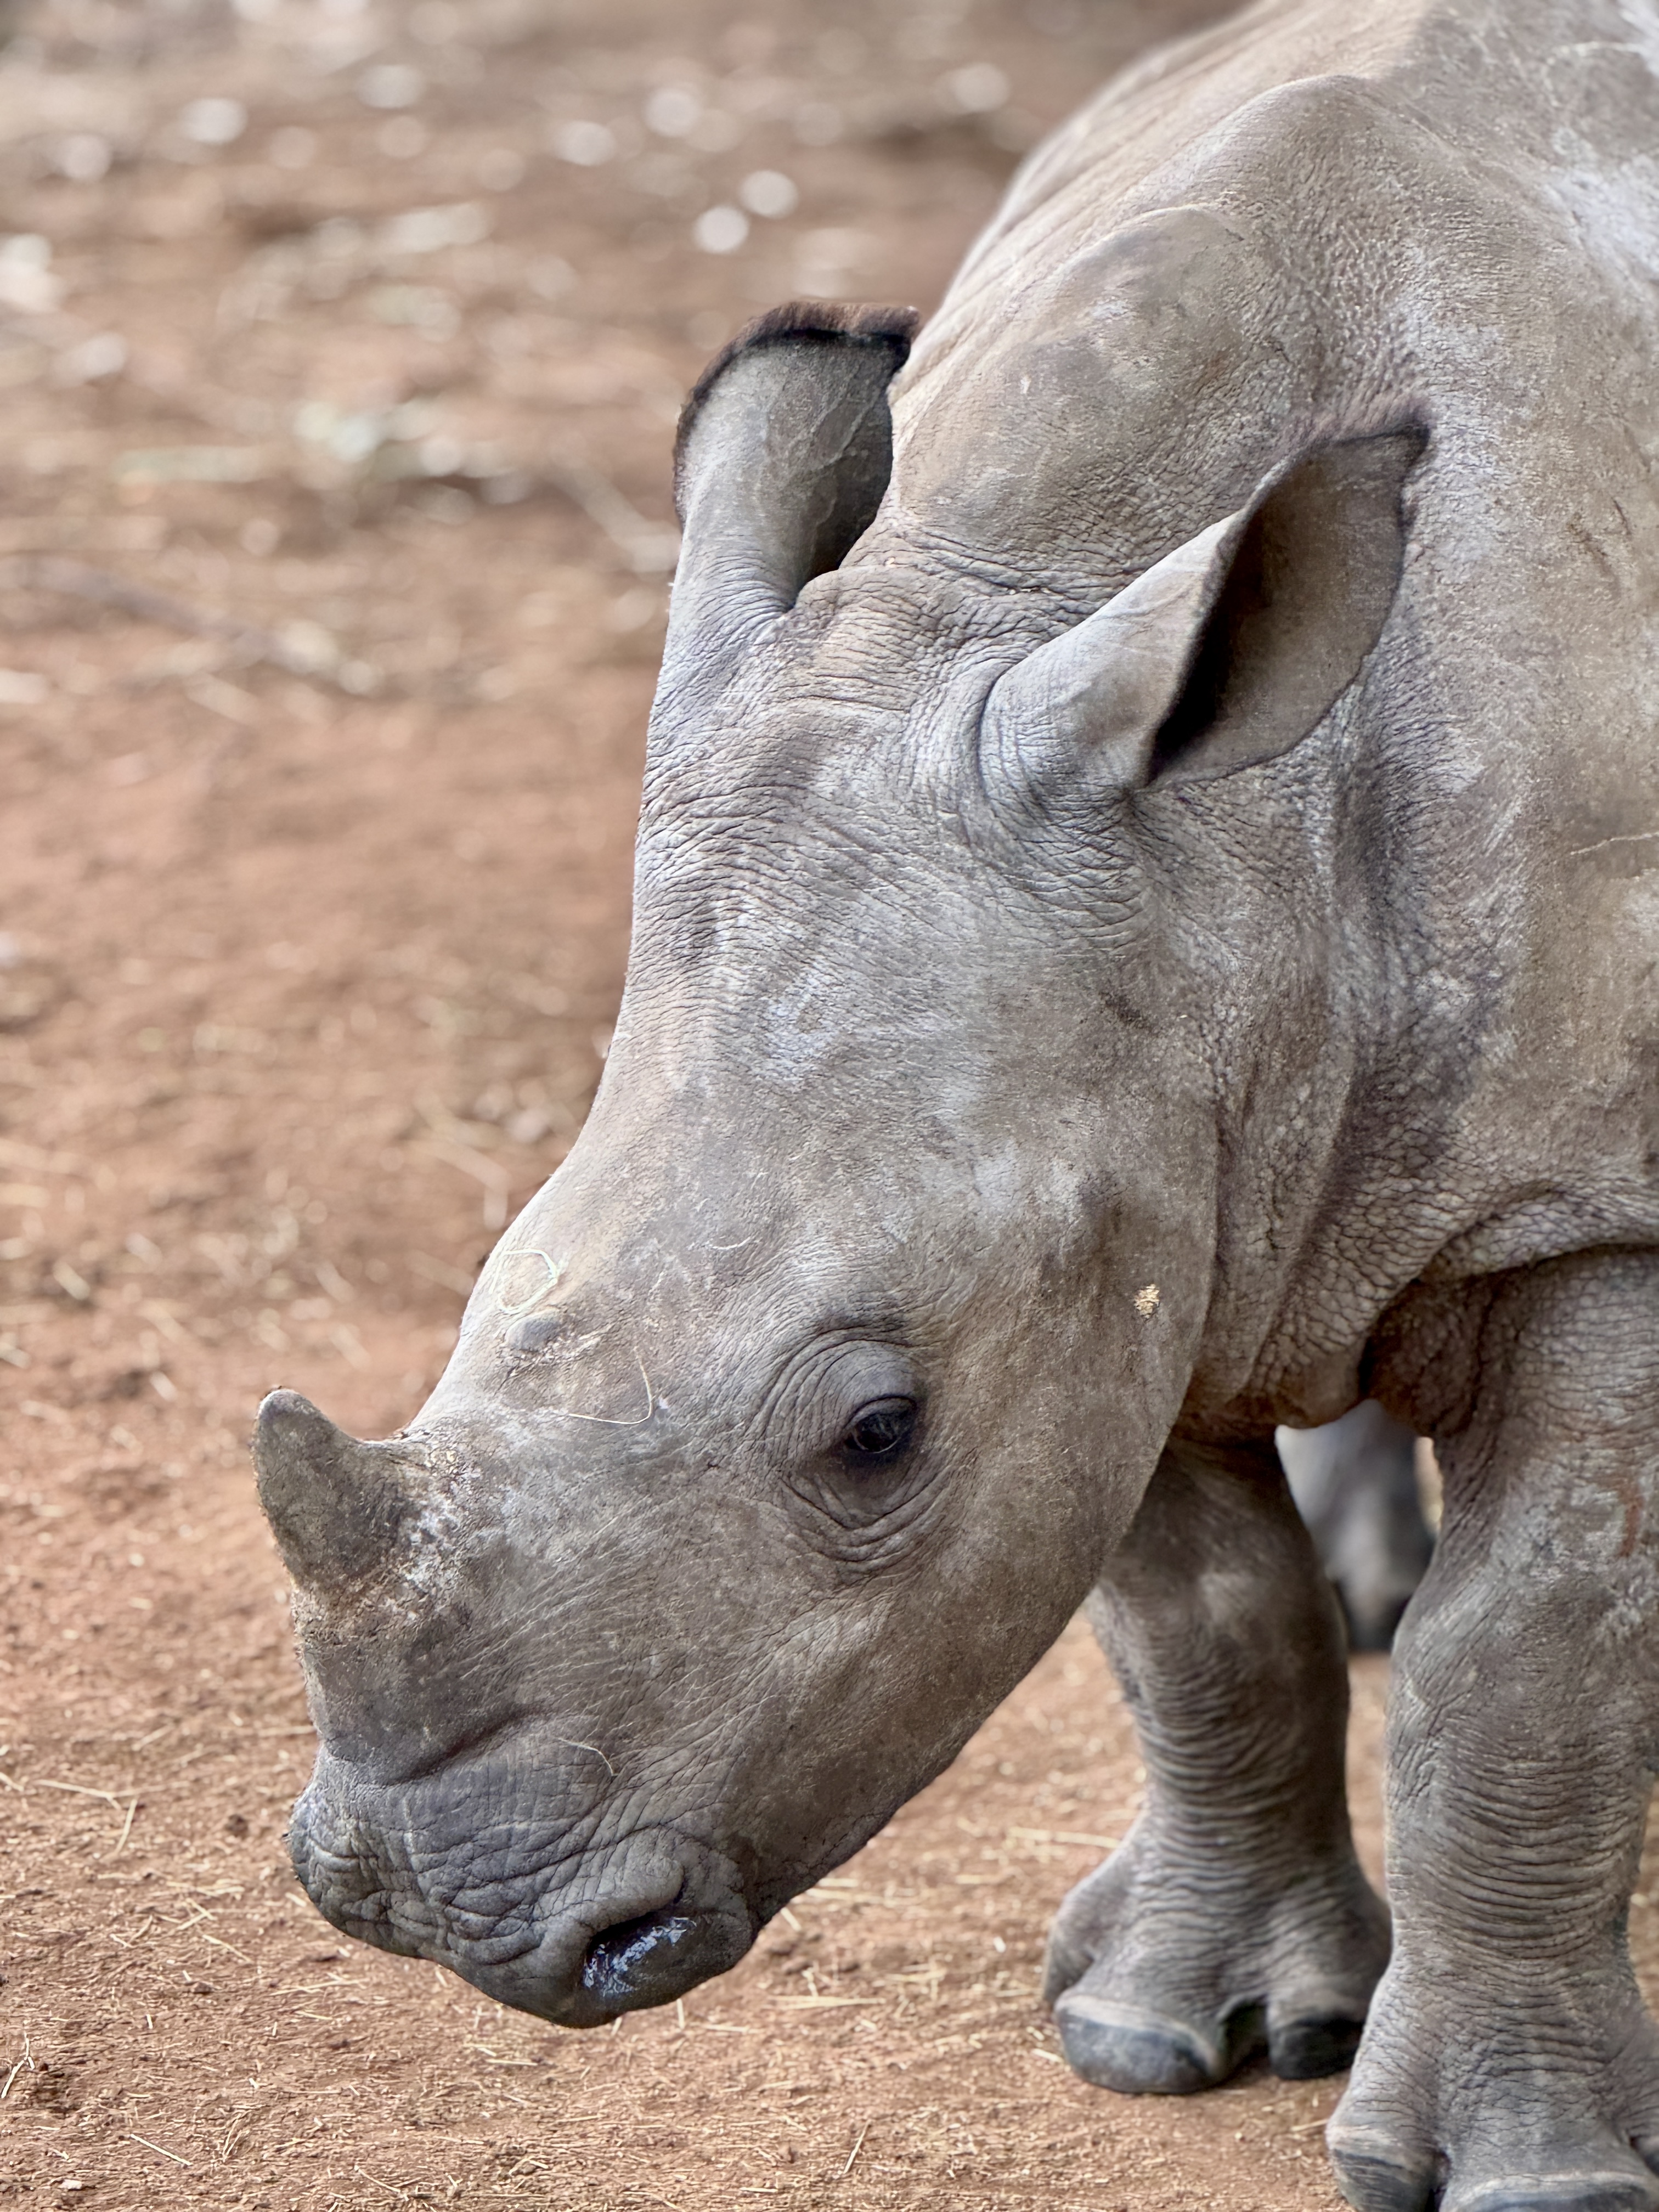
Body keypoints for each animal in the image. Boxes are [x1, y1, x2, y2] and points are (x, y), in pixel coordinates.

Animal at [252, 0, 1659, 2203]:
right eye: (492, 1291)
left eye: (869, 1434)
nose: (428, 1907)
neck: (1231, 859)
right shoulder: (1121, 1182)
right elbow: (1204, 1619)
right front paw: (1155, 2032)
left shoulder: (1578, 1194)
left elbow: (1526, 1661)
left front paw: (1519, 2167)